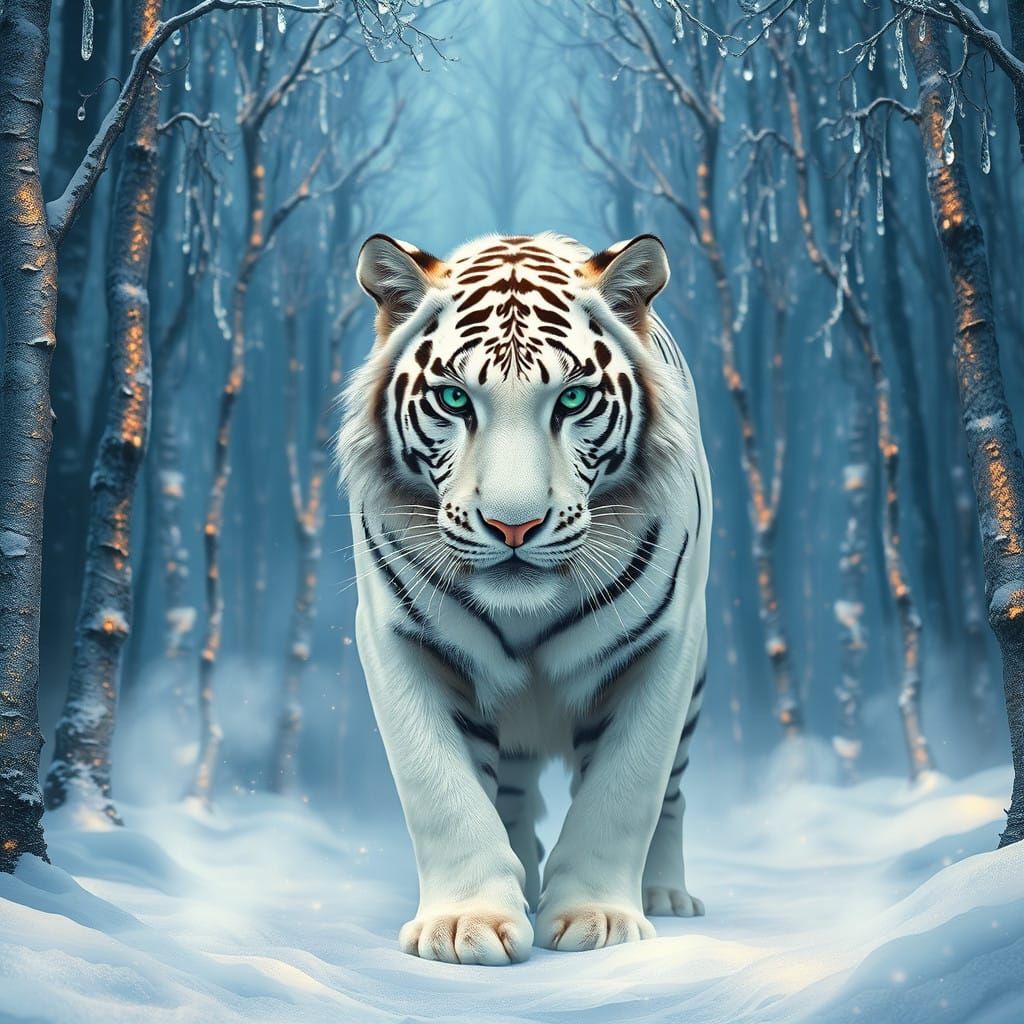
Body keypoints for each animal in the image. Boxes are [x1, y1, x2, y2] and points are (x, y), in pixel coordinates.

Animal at [338, 231, 711, 965]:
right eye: (454, 401)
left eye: (573, 400)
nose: (514, 526)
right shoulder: (399, 641)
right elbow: (440, 790)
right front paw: (467, 923)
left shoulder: (665, 648)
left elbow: (626, 790)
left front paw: (599, 918)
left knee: (674, 795)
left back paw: (665, 895)